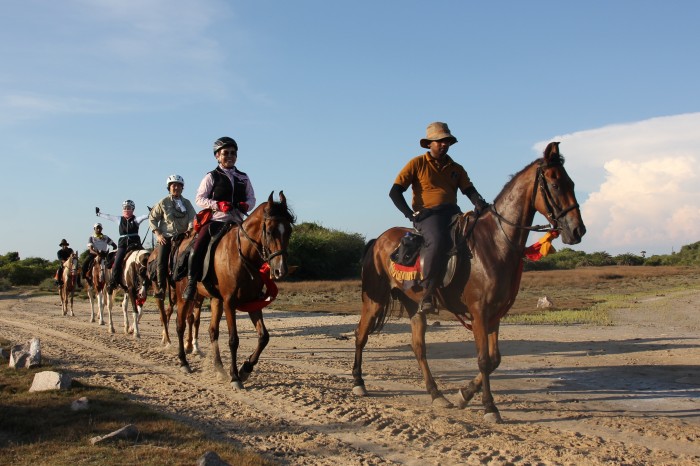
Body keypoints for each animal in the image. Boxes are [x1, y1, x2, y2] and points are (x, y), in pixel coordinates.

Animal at [175, 191, 296, 388]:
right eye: (270, 231)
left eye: (289, 231)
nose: (280, 270)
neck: (243, 255)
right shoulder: (230, 303)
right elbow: (233, 340)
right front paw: (235, 377)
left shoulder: (253, 302)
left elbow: (264, 337)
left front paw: (245, 369)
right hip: (184, 296)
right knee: (180, 325)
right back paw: (184, 362)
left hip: (215, 300)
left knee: (212, 331)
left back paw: (219, 368)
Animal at [352, 142, 588, 422]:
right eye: (555, 184)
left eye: (571, 183)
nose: (578, 231)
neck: (494, 243)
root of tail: (377, 240)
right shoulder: (479, 312)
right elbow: (484, 360)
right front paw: (490, 407)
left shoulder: (494, 314)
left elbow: (495, 359)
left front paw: (463, 395)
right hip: (374, 300)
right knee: (360, 335)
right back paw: (358, 382)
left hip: (414, 306)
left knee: (419, 348)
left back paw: (436, 395)